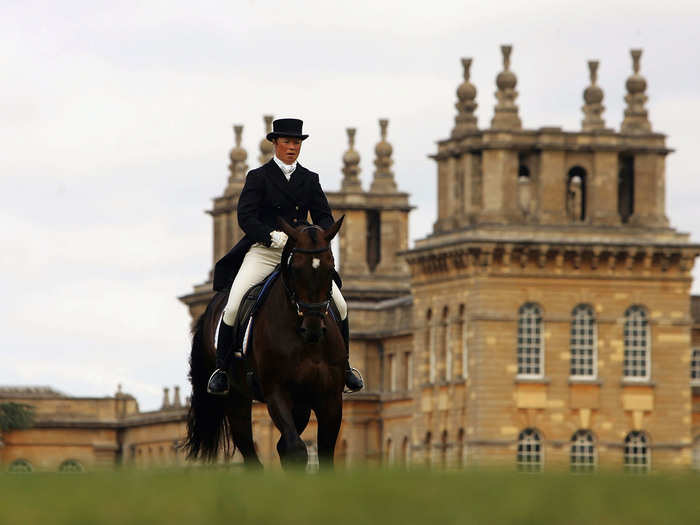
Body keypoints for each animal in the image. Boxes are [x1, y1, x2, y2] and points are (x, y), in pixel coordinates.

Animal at [183, 215, 348, 468]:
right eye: (295, 268)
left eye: (331, 267)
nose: (312, 329)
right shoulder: (276, 393)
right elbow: (295, 449)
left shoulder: (329, 398)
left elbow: (323, 455)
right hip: (236, 399)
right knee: (251, 453)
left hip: (300, 403)